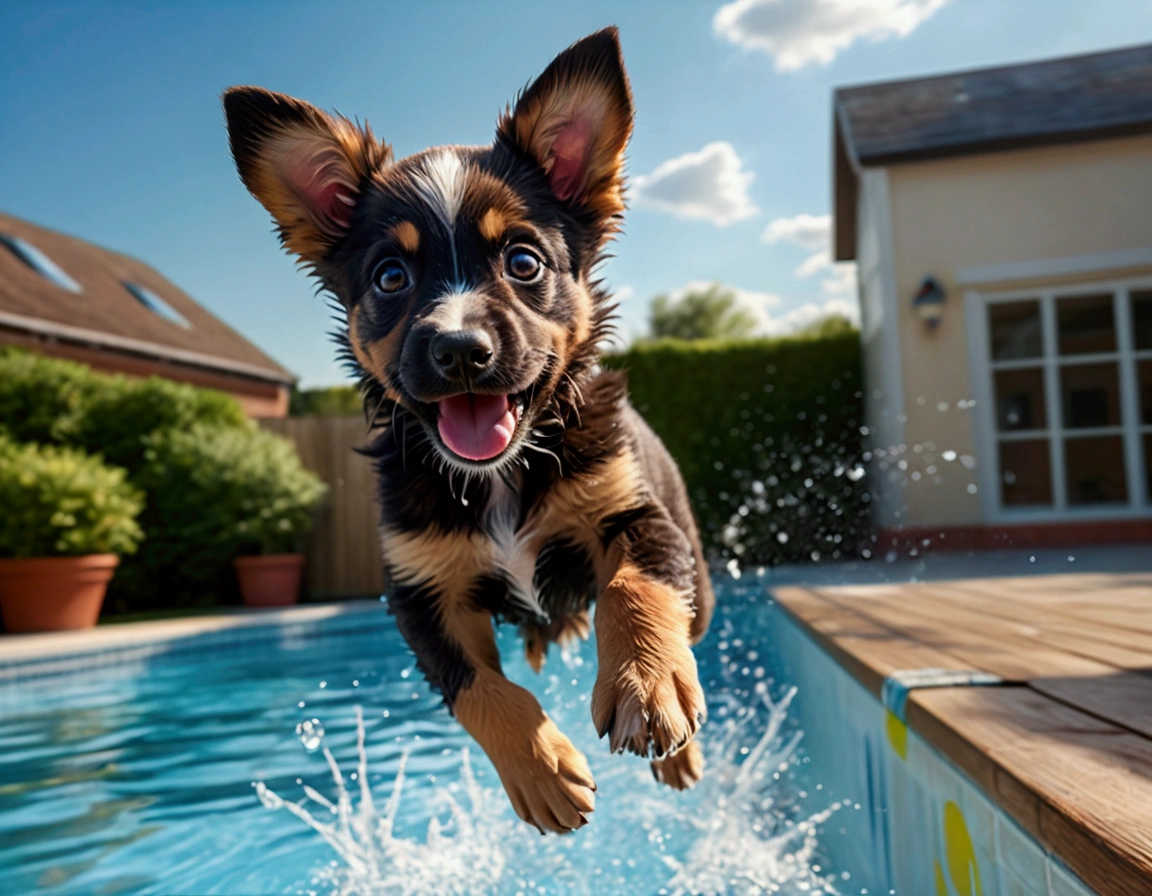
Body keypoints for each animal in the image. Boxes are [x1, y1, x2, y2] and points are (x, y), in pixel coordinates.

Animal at [222, 29, 709, 838]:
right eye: (390, 277)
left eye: (524, 262)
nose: (458, 350)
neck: (500, 474)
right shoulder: (422, 592)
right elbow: (475, 687)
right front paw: (540, 771)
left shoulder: (637, 518)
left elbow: (635, 589)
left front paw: (647, 686)